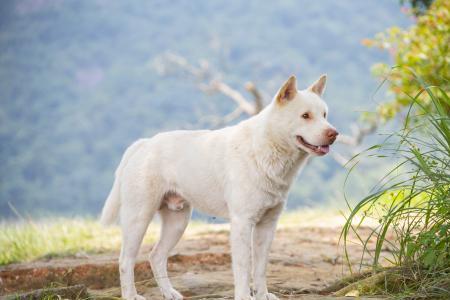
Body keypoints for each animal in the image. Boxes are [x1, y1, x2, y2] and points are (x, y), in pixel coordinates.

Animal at [99, 75, 338, 300]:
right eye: (305, 116)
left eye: (325, 115)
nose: (334, 133)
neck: (267, 149)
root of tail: (143, 144)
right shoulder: (242, 223)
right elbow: (243, 267)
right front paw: (244, 296)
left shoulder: (268, 224)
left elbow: (260, 268)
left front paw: (262, 295)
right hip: (138, 218)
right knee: (125, 260)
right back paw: (130, 295)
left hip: (177, 222)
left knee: (155, 255)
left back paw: (169, 293)